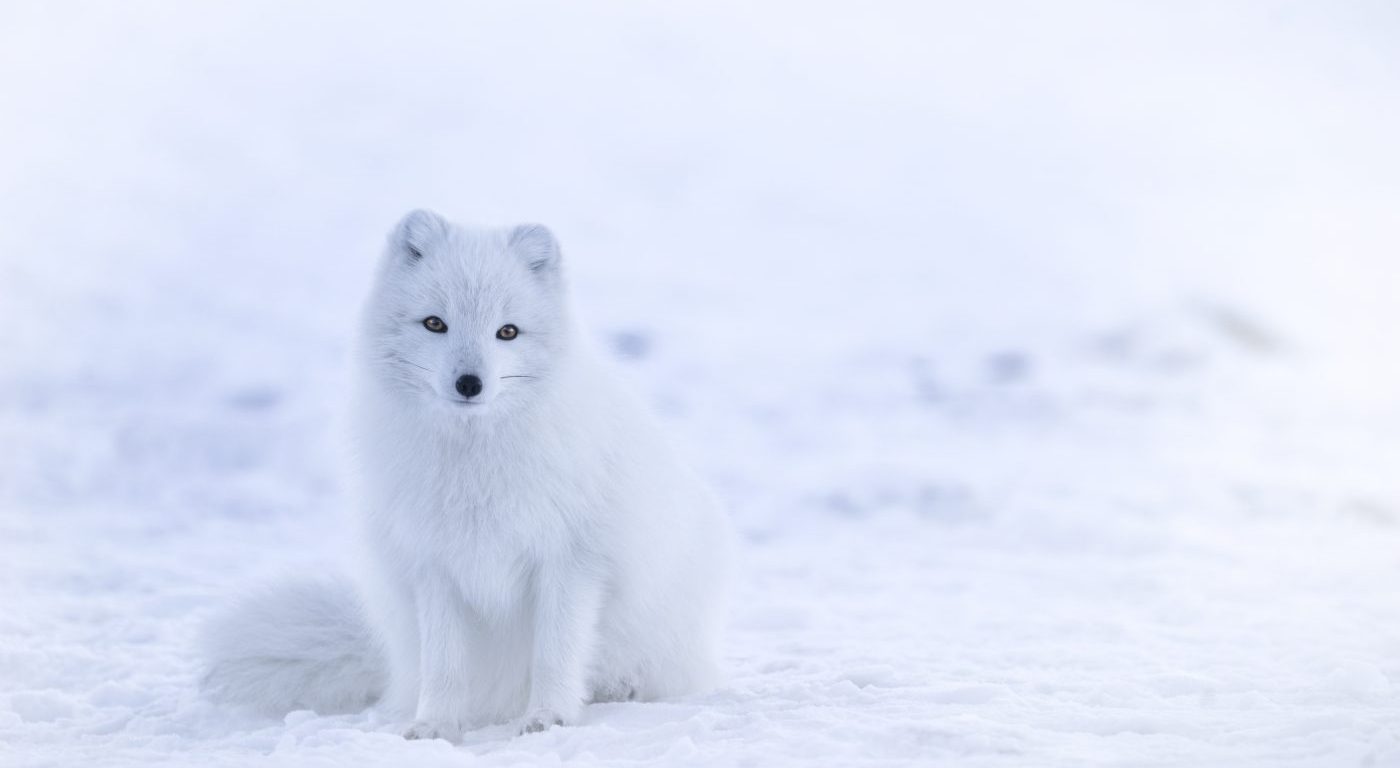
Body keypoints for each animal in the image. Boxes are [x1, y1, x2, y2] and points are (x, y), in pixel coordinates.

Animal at [200, 210, 732, 740]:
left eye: (508, 332)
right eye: (435, 323)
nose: (469, 383)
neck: (474, 464)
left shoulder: (571, 560)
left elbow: (555, 653)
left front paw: (548, 717)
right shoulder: (434, 565)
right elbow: (445, 665)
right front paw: (434, 725)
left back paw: (618, 687)